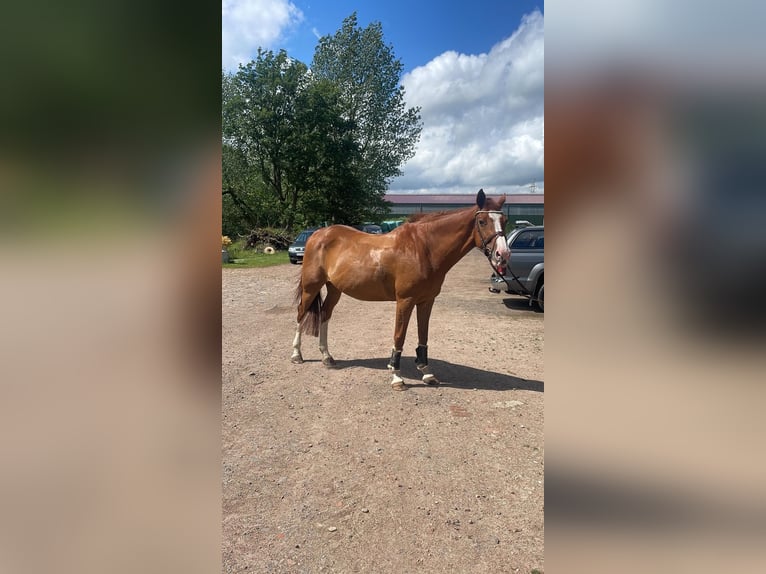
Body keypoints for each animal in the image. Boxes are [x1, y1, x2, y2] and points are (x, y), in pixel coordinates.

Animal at [290, 189, 510, 390]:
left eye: (505, 220)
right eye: (482, 221)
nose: (503, 254)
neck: (424, 249)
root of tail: (317, 234)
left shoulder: (426, 301)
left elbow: (423, 335)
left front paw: (426, 372)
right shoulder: (405, 300)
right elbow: (399, 335)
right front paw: (397, 376)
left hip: (335, 289)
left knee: (325, 315)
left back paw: (327, 357)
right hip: (311, 287)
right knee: (301, 314)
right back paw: (296, 355)